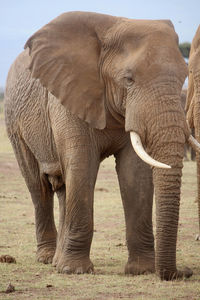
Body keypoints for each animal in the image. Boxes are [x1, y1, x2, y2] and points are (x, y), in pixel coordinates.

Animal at [3, 9, 198, 282]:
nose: (184, 272)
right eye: (128, 79)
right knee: (38, 186)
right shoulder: (68, 95)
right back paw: (48, 259)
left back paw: (56, 261)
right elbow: (82, 165)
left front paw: (141, 270)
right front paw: (74, 271)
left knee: (63, 187)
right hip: (14, 122)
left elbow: (135, 173)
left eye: (184, 77)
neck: (112, 27)